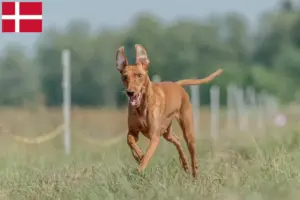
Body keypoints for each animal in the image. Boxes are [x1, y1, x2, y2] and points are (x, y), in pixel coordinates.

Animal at [116, 44, 221, 178]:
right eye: (124, 77)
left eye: (139, 75)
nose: (130, 92)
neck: (142, 107)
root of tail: (177, 85)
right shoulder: (133, 131)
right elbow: (130, 141)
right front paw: (138, 154)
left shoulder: (154, 136)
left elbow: (146, 157)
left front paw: (139, 169)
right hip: (167, 132)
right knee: (177, 140)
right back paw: (185, 164)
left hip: (188, 132)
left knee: (192, 154)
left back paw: (194, 174)